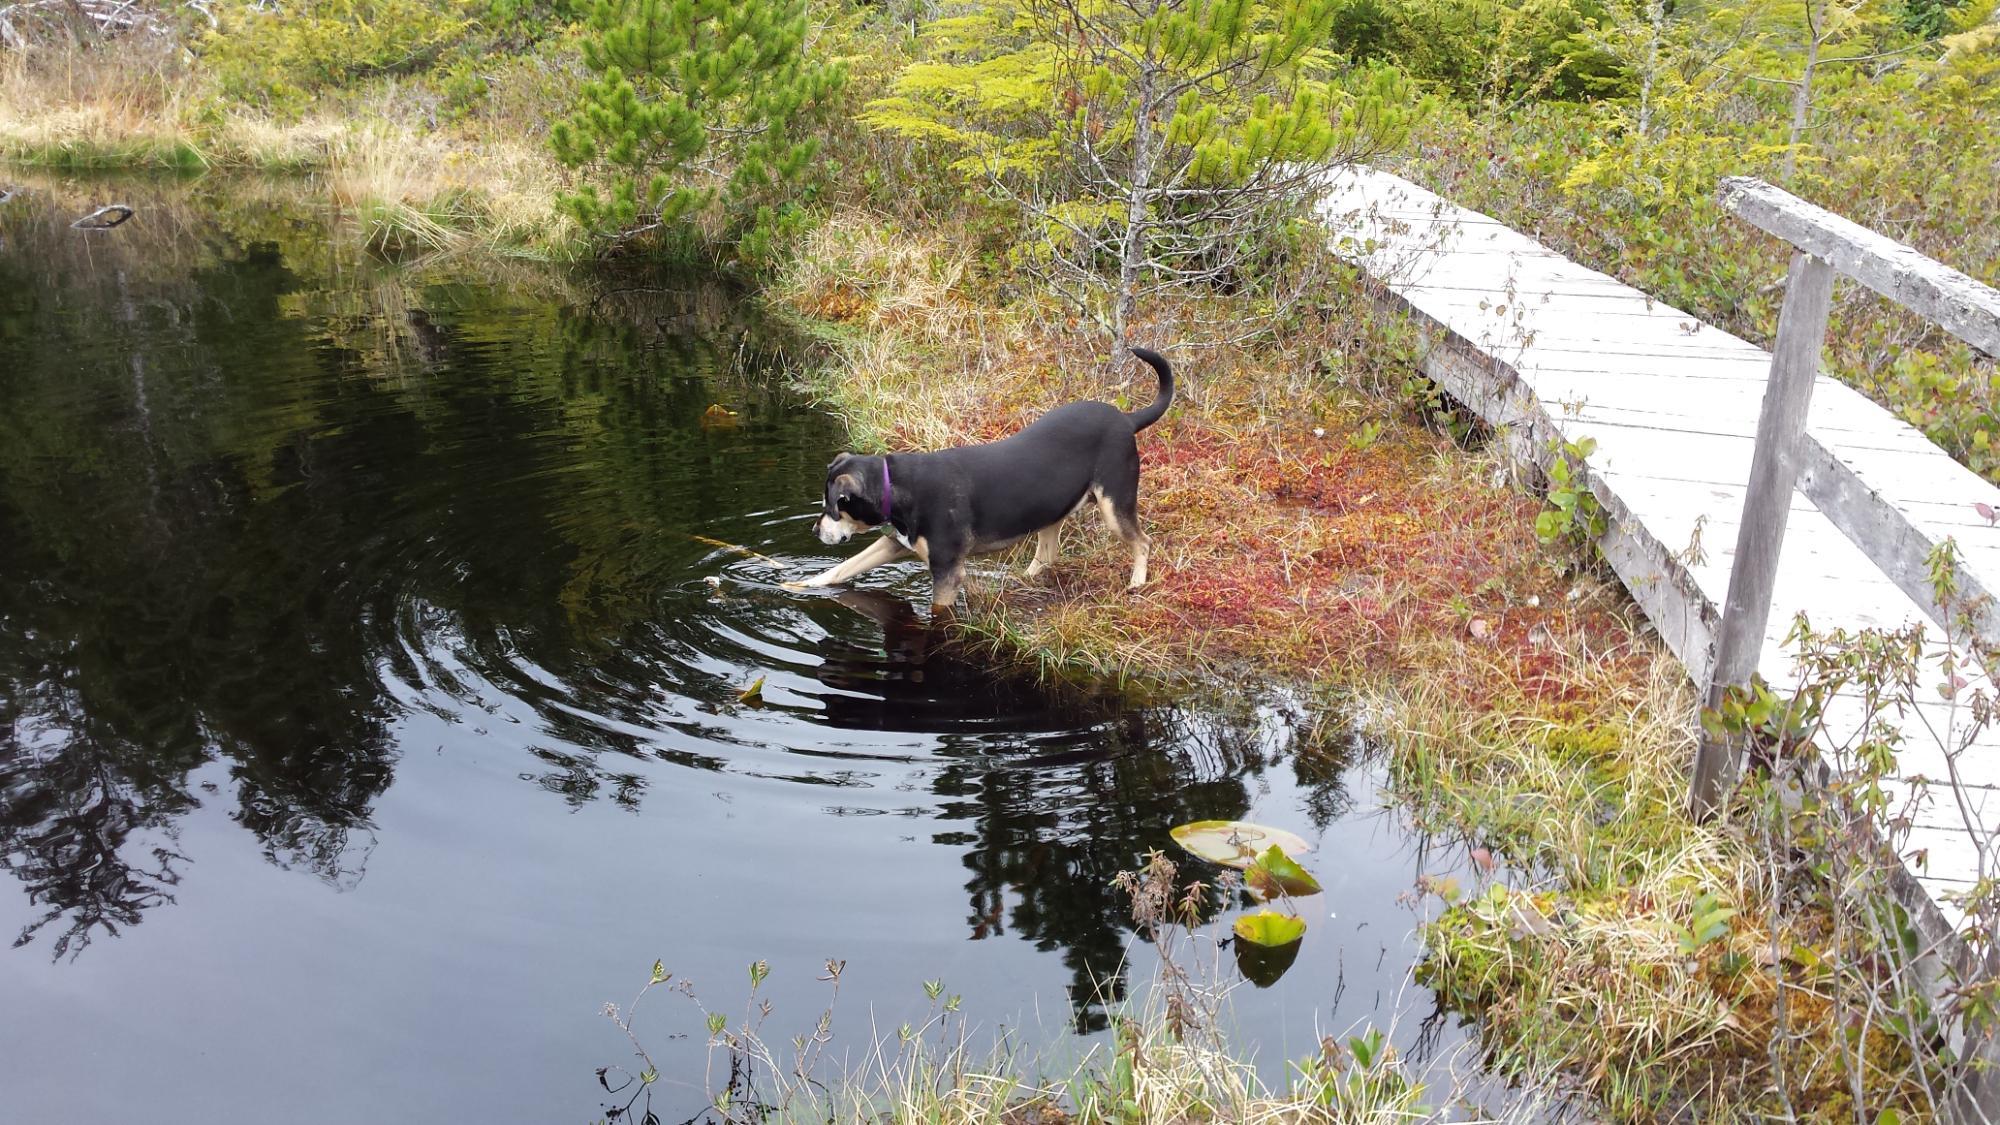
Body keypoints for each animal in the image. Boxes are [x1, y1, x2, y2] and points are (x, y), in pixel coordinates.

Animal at [792, 348, 1168, 608]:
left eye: (833, 506)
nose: (814, 531)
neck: (895, 486)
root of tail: (1126, 419)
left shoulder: (946, 571)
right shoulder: (893, 543)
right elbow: (844, 567)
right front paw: (800, 585)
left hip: (1114, 503)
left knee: (1143, 542)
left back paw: (1137, 583)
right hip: (1052, 510)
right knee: (1047, 555)